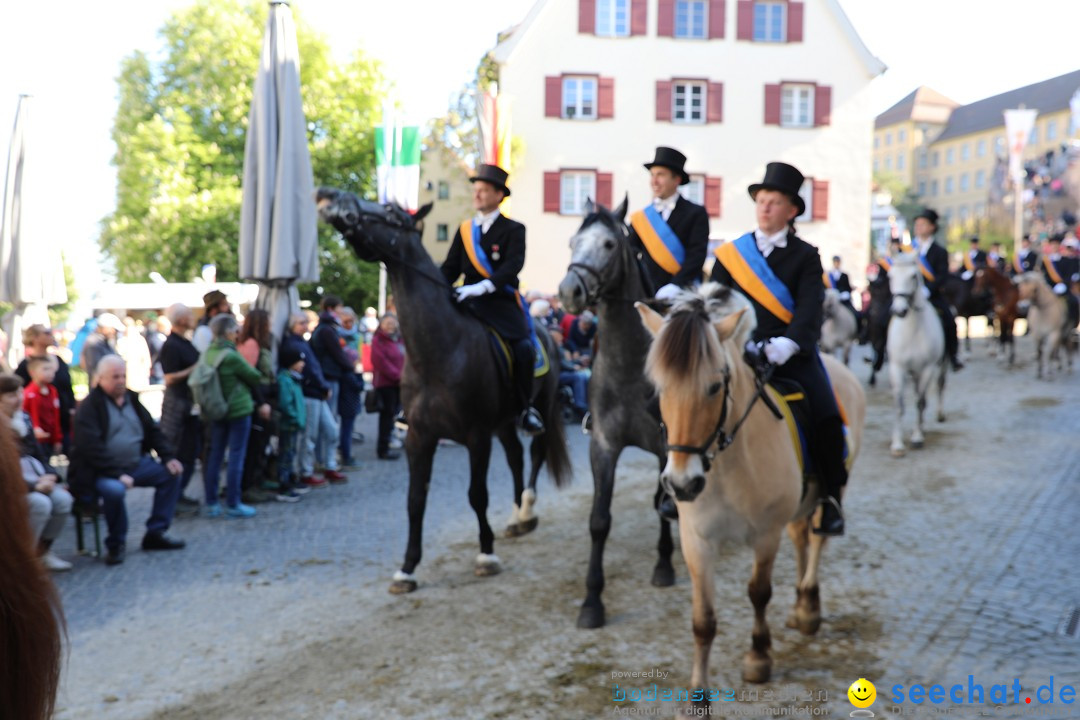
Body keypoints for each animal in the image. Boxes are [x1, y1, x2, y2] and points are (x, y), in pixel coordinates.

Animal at [557, 198, 673, 630]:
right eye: (573, 241)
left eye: (609, 243)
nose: (569, 291)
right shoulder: (604, 445)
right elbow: (599, 521)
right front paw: (592, 602)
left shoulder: (665, 444)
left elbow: (663, 500)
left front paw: (663, 566)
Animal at [635, 284, 864, 695]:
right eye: (659, 389)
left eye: (714, 387)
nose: (682, 484)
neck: (726, 464)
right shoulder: (697, 540)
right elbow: (703, 620)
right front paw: (699, 696)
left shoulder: (765, 535)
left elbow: (759, 592)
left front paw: (758, 657)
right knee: (801, 537)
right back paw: (801, 607)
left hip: (834, 488)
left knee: (818, 538)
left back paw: (809, 606)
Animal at [885, 253, 946, 455]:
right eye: (890, 276)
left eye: (913, 276)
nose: (899, 310)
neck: (912, 330)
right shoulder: (898, 368)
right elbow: (899, 405)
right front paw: (897, 444)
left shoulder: (927, 369)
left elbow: (920, 401)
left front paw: (917, 438)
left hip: (939, 367)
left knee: (937, 388)